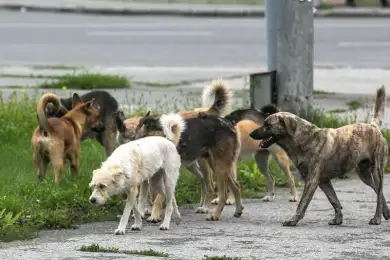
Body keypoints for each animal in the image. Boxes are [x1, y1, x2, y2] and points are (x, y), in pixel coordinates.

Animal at [250, 86, 390, 226]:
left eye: (267, 125)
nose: (250, 134)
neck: (304, 139)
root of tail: (373, 126)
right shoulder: (324, 181)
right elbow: (334, 200)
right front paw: (338, 219)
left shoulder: (311, 181)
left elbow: (302, 203)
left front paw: (293, 220)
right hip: (364, 174)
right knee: (379, 192)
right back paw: (386, 212)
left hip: (377, 171)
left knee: (379, 193)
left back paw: (377, 218)